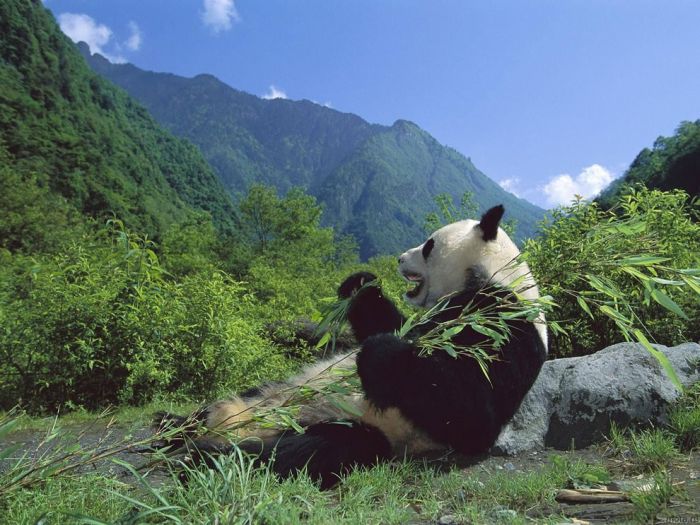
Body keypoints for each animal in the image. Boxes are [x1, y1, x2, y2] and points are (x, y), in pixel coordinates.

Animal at [159, 204, 548, 488]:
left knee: (311, 450)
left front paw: (382, 353)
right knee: (227, 405)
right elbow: (390, 322)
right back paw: (173, 426)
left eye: (428, 245)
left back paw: (207, 455)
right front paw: (360, 282)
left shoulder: (506, 326)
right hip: (274, 388)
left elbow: (472, 415)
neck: (493, 275)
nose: (399, 259)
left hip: (355, 425)